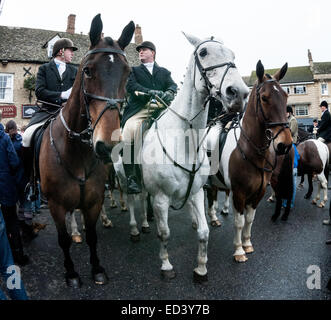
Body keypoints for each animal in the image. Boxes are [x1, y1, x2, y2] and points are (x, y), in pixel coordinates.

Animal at [40, 14, 135, 288]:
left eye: (128, 73)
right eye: (88, 71)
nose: (109, 145)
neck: (77, 150)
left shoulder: (93, 199)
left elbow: (93, 236)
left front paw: (97, 269)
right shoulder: (55, 205)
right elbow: (62, 240)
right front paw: (71, 273)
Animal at [139, 33, 250, 282]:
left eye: (233, 55)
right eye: (203, 52)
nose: (239, 93)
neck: (184, 142)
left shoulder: (198, 191)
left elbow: (204, 232)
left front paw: (200, 268)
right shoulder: (161, 198)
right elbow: (164, 233)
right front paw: (166, 265)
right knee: (136, 201)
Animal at [209, 60, 292, 262]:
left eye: (286, 95)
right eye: (264, 98)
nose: (284, 145)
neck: (251, 151)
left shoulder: (258, 192)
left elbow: (249, 219)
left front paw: (247, 244)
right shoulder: (239, 193)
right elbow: (239, 222)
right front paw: (239, 250)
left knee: (212, 195)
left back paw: (213, 218)